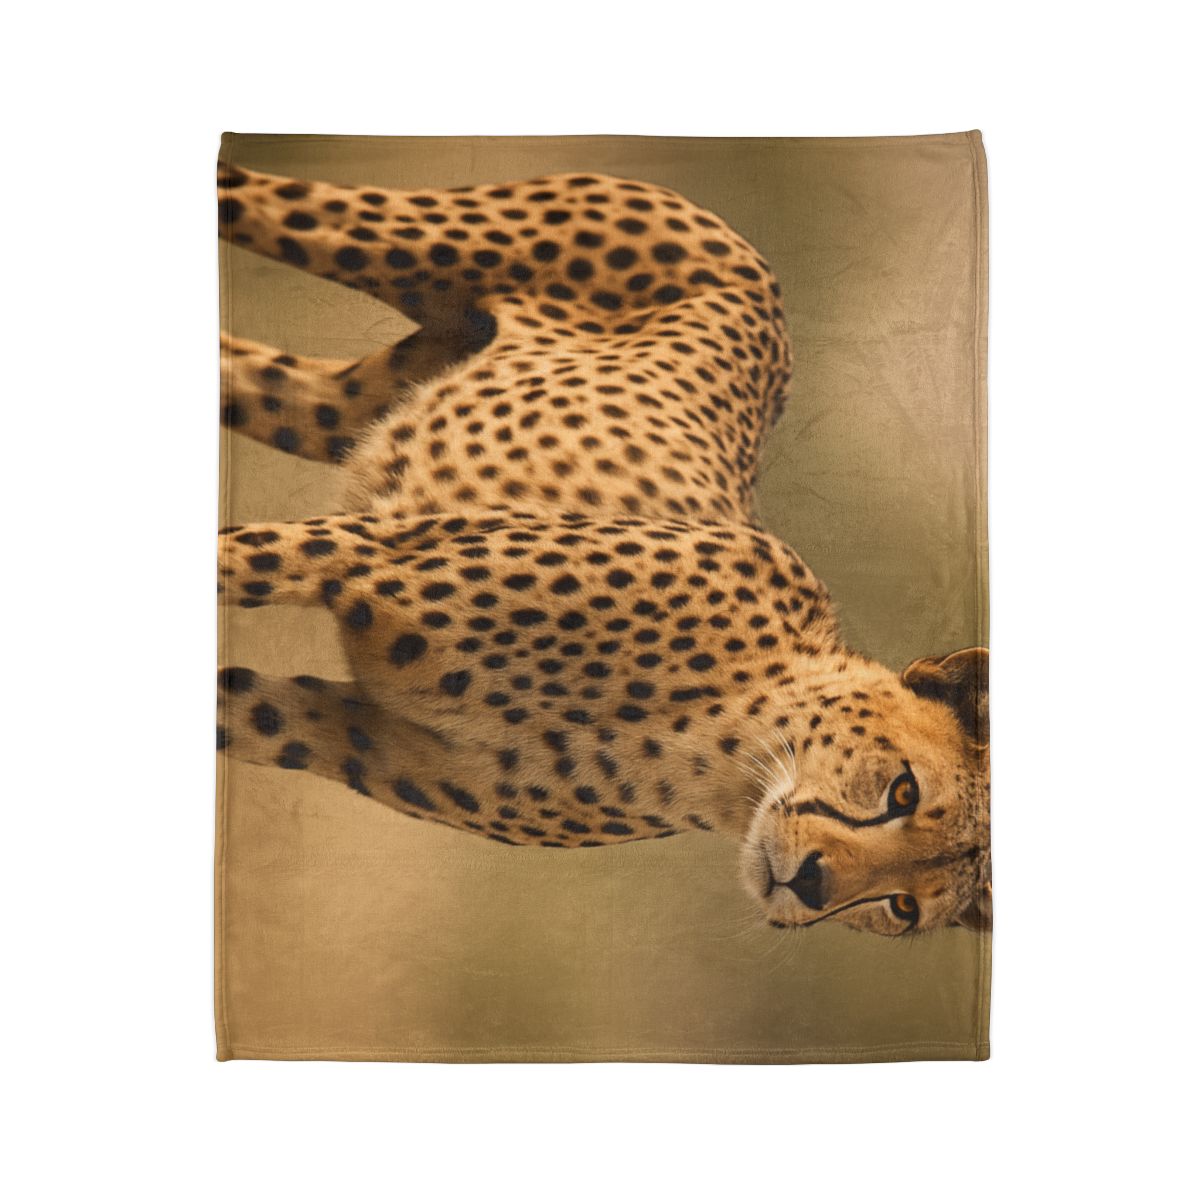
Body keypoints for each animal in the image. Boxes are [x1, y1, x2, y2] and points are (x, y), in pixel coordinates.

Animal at [216, 161, 990, 936]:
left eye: (903, 906)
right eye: (902, 791)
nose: (811, 884)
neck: (721, 744)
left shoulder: (328, 729)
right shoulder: (358, 552)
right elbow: (234, 557)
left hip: (333, 403)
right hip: (382, 238)